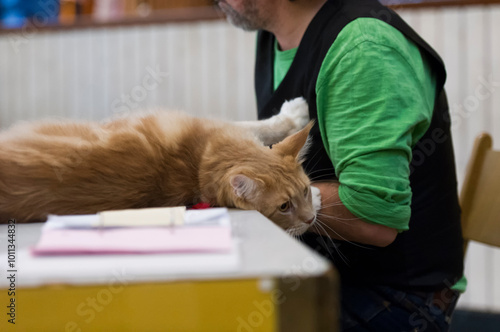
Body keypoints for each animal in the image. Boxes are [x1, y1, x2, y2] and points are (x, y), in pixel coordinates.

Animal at [0, 97, 320, 235]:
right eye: (283, 207)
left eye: (302, 191)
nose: (310, 219)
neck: (197, 165)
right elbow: (261, 125)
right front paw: (294, 113)